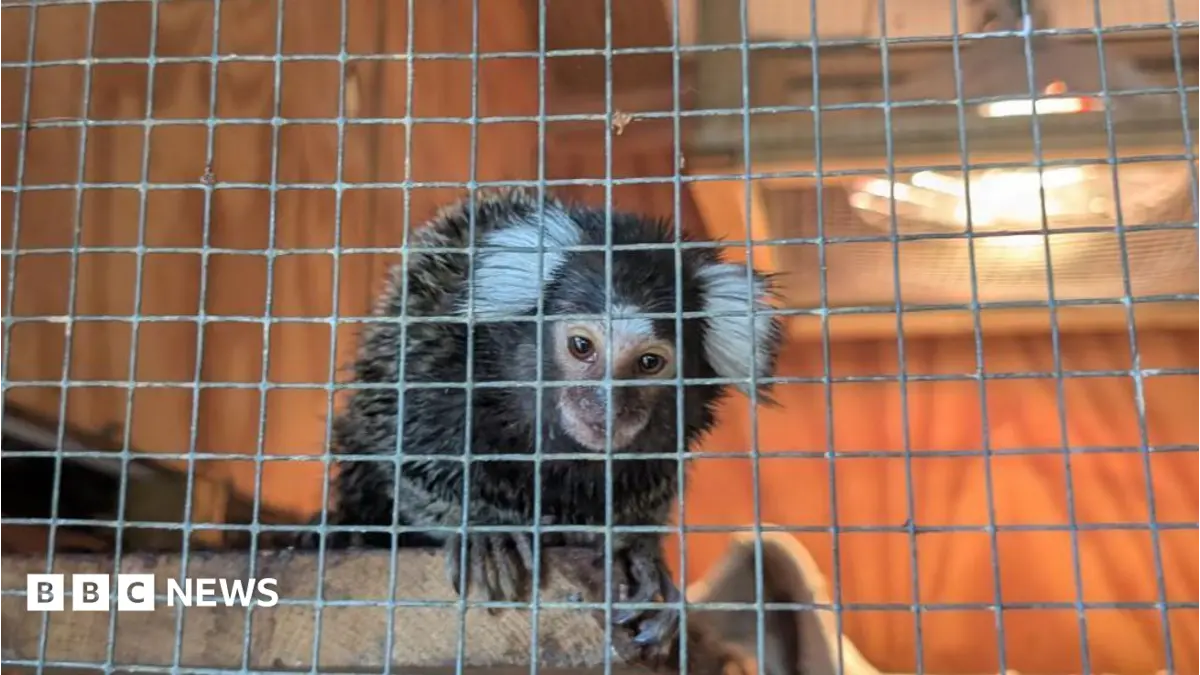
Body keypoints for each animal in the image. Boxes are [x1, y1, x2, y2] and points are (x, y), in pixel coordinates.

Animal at [309, 187, 783, 665]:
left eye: (650, 362)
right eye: (581, 346)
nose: (607, 407)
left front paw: (637, 552)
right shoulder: (434, 359)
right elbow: (410, 460)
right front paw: (485, 530)